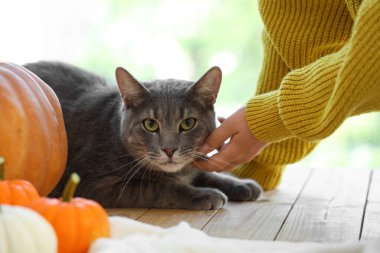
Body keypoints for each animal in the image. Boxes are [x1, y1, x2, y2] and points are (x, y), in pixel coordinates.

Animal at [23, 61, 262, 210]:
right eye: (150, 124)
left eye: (188, 123)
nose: (169, 149)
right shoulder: (96, 184)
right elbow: (159, 187)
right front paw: (204, 195)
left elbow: (204, 173)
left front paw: (241, 184)